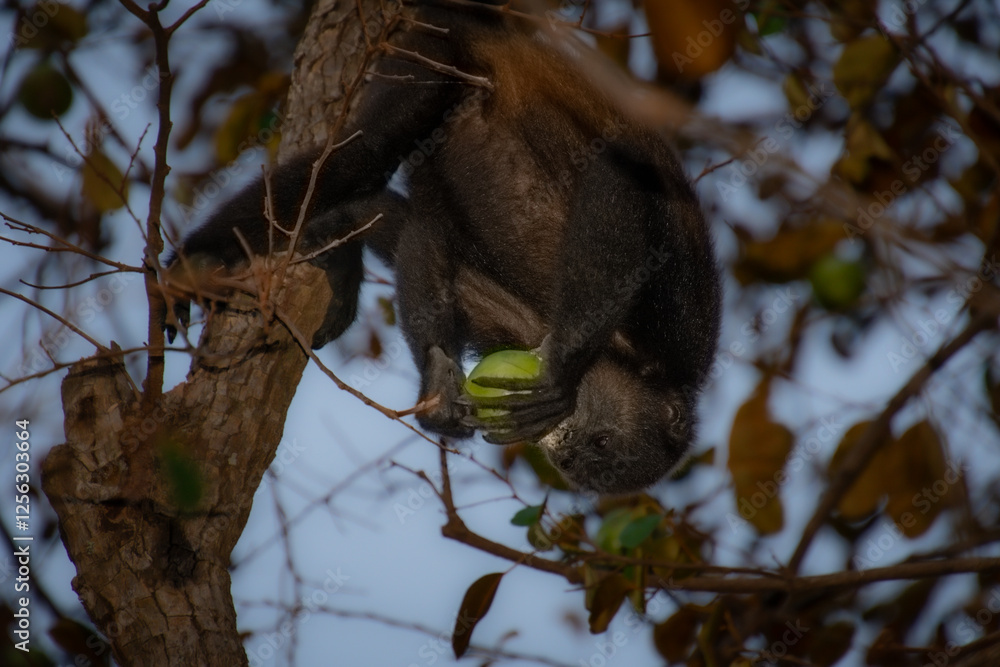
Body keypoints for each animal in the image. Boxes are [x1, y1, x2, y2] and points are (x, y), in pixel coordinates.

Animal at [164, 0, 722, 494]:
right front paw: (562, 374)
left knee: (404, 205)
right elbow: (619, 177)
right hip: (431, 53)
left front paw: (435, 384)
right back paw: (197, 258)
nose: (566, 452)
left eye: (591, 457)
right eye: (601, 444)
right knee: (362, 154)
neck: (629, 363)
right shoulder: (681, 315)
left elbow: (425, 242)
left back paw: (337, 250)